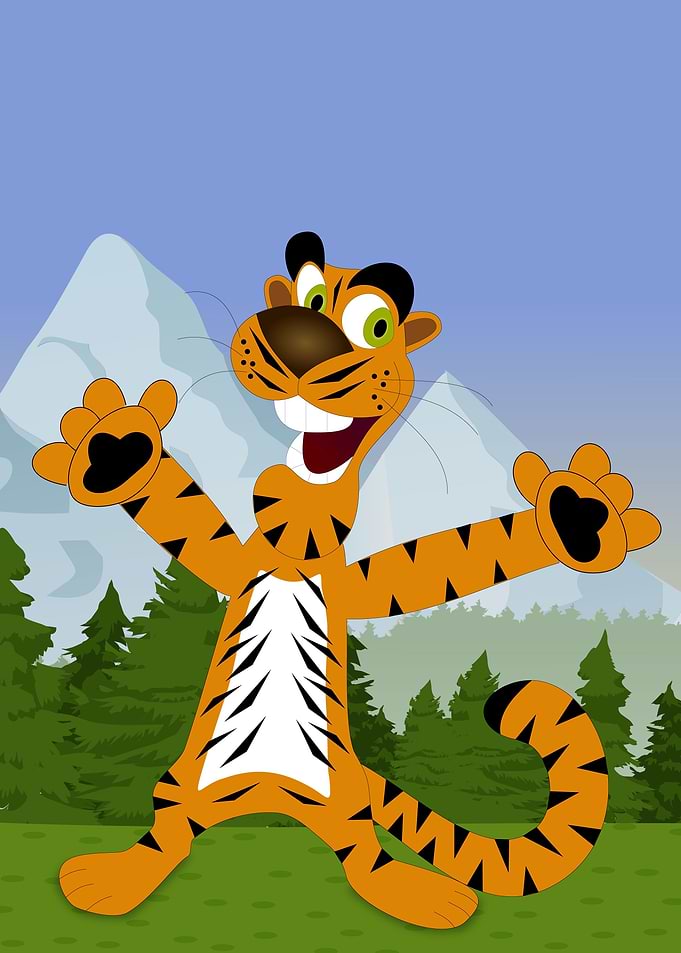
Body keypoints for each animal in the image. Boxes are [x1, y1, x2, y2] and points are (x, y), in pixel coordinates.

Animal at [32, 230, 661, 928]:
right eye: (308, 295)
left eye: (376, 325)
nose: (298, 341)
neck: (298, 532)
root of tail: (269, 795)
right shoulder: (238, 562)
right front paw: (119, 450)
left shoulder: (362, 584)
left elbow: (456, 557)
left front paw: (575, 519)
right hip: (185, 782)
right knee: (169, 830)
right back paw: (115, 878)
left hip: (342, 799)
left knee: (364, 854)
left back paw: (417, 893)